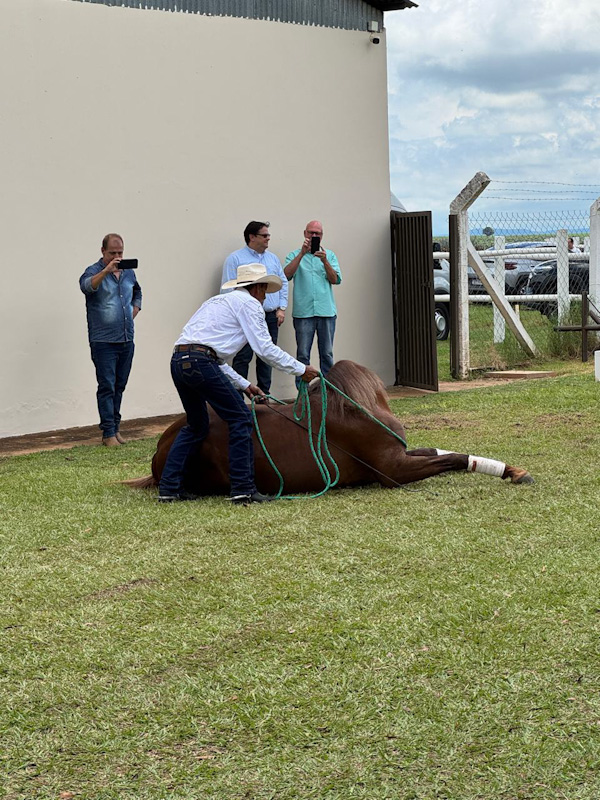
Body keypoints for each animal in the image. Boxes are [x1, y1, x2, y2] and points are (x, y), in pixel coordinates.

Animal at [126, 360, 533, 496]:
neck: (360, 407)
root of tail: (159, 452)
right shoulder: (394, 470)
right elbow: (452, 458)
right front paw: (510, 471)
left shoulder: (401, 454)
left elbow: (440, 451)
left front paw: (511, 470)